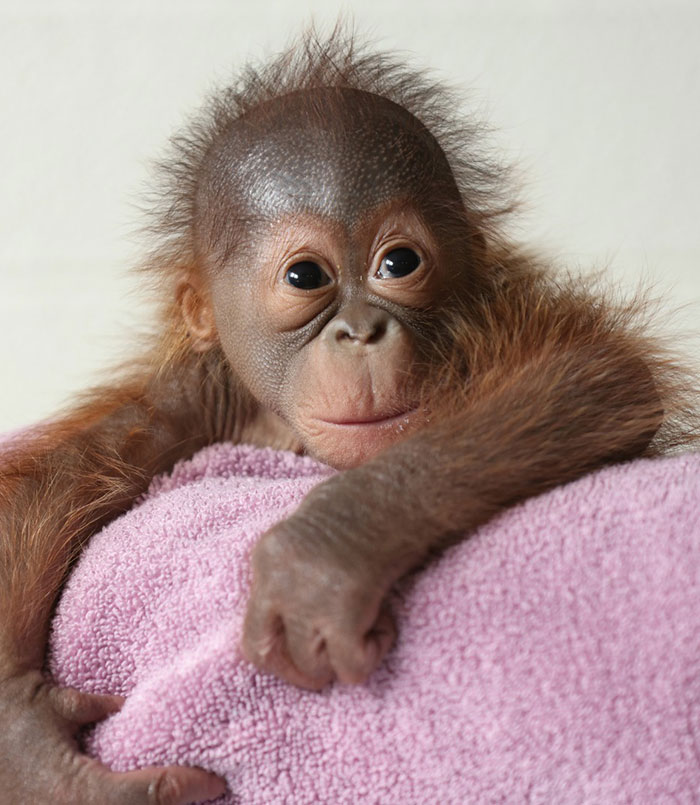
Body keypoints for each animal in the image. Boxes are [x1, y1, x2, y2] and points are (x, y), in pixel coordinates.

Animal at [1, 27, 698, 805]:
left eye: (400, 263)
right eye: (306, 277)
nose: (361, 331)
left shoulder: (497, 312)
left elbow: (596, 372)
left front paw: (324, 555)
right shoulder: (199, 388)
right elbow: (79, 465)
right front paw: (34, 751)